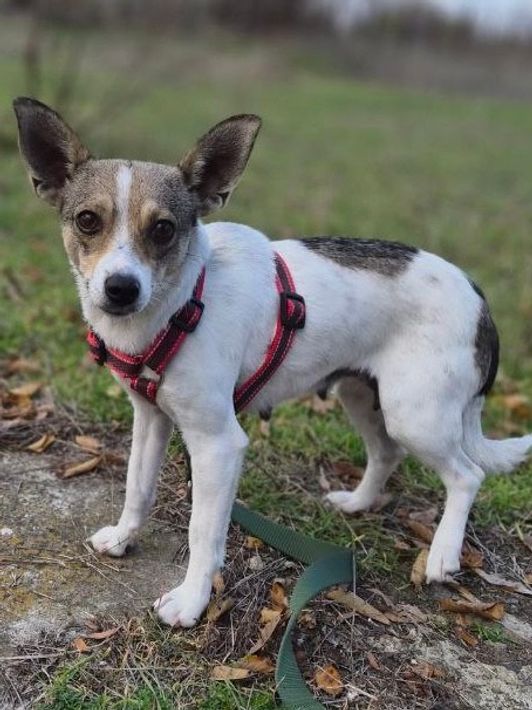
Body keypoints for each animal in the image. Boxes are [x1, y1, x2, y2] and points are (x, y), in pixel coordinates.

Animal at [14, 97, 532, 628]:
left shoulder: (218, 445)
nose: (120, 288)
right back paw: (357, 503)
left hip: (416, 415)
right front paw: (124, 537)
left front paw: (192, 600)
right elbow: (137, 487)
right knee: (388, 453)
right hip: (362, 395)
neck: (183, 300)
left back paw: (444, 554)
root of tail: (477, 295)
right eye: (87, 220)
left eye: (163, 229)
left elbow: (203, 532)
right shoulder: (152, 417)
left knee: (467, 474)